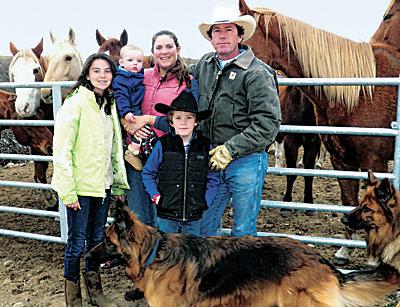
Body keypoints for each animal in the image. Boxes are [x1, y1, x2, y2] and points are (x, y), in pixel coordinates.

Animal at [239, 0, 400, 266]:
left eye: (242, 44)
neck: (359, 92)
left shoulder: (373, 161)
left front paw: (373, 261)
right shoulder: (341, 160)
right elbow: (348, 201)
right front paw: (344, 251)